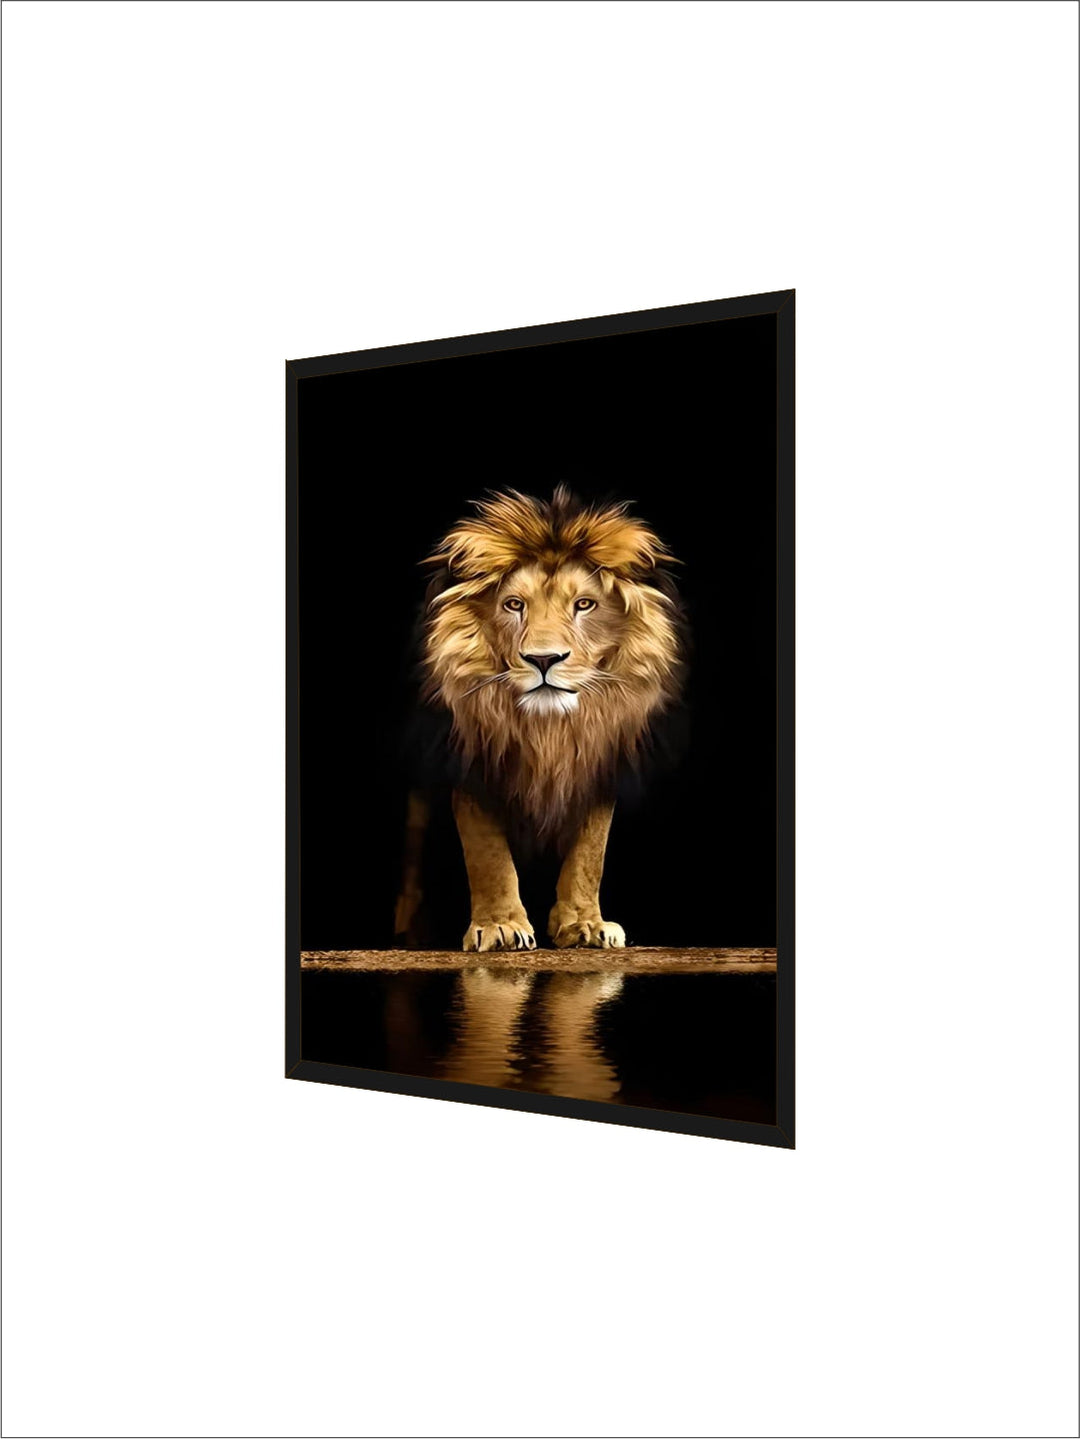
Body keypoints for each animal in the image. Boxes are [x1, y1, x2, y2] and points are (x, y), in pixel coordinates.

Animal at [396, 485, 686, 952]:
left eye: (584, 604)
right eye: (514, 604)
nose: (544, 659)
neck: (548, 730)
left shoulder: (598, 762)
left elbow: (590, 853)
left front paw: (585, 924)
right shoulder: (471, 763)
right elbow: (487, 853)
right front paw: (499, 925)